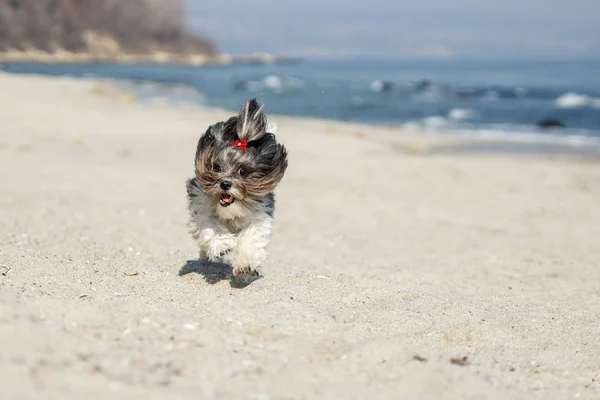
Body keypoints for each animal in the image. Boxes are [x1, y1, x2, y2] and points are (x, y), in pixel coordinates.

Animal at [186, 99, 290, 280]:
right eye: (217, 167)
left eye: (243, 171)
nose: (225, 184)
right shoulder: (200, 203)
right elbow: (209, 224)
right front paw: (222, 244)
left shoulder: (259, 216)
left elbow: (251, 237)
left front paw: (245, 266)